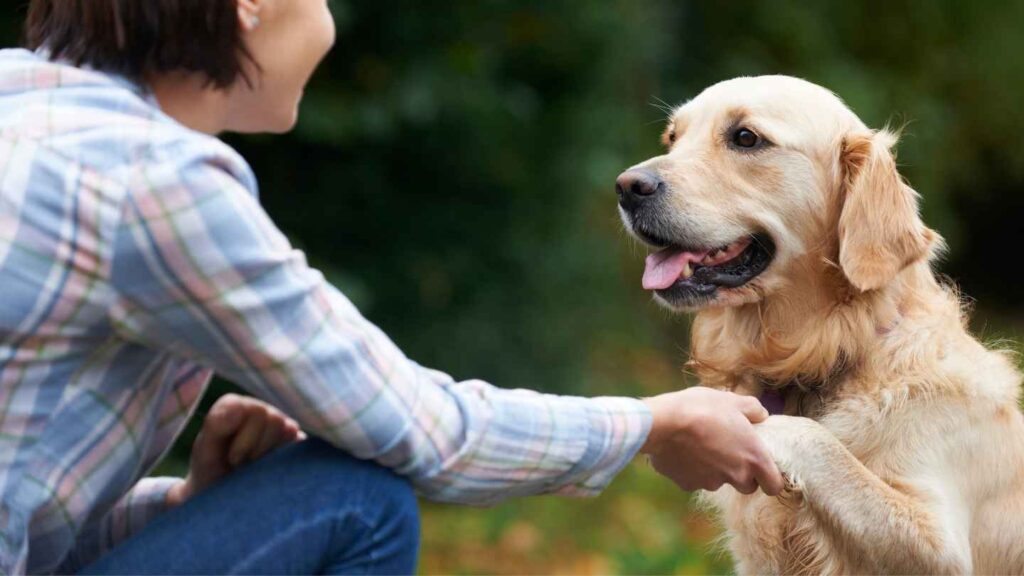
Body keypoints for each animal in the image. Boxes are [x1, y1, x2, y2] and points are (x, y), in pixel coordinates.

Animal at [614, 75, 1024, 569]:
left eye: (745, 138)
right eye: (673, 138)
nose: (626, 187)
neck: (829, 352)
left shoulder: (941, 545)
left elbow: (818, 440)